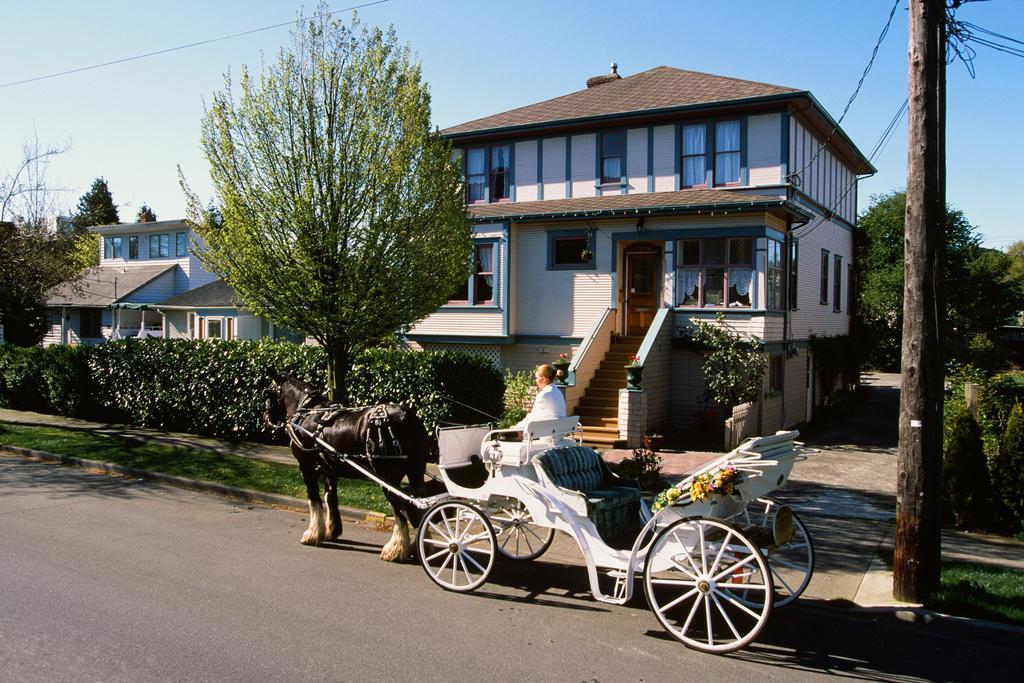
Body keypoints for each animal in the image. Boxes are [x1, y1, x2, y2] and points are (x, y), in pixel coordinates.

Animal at [262, 374, 434, 561]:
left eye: (267, 393)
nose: (266, 418)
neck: (307, 412)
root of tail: (407, 417)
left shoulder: (306, 466)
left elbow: (314, 499)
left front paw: (312, 534)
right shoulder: (328, 469)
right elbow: (330, 497)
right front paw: (331, 530)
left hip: (388, 477)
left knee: (401, 510)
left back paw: (395, 549)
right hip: (415, 472)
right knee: (422, 506)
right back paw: (421, 546)